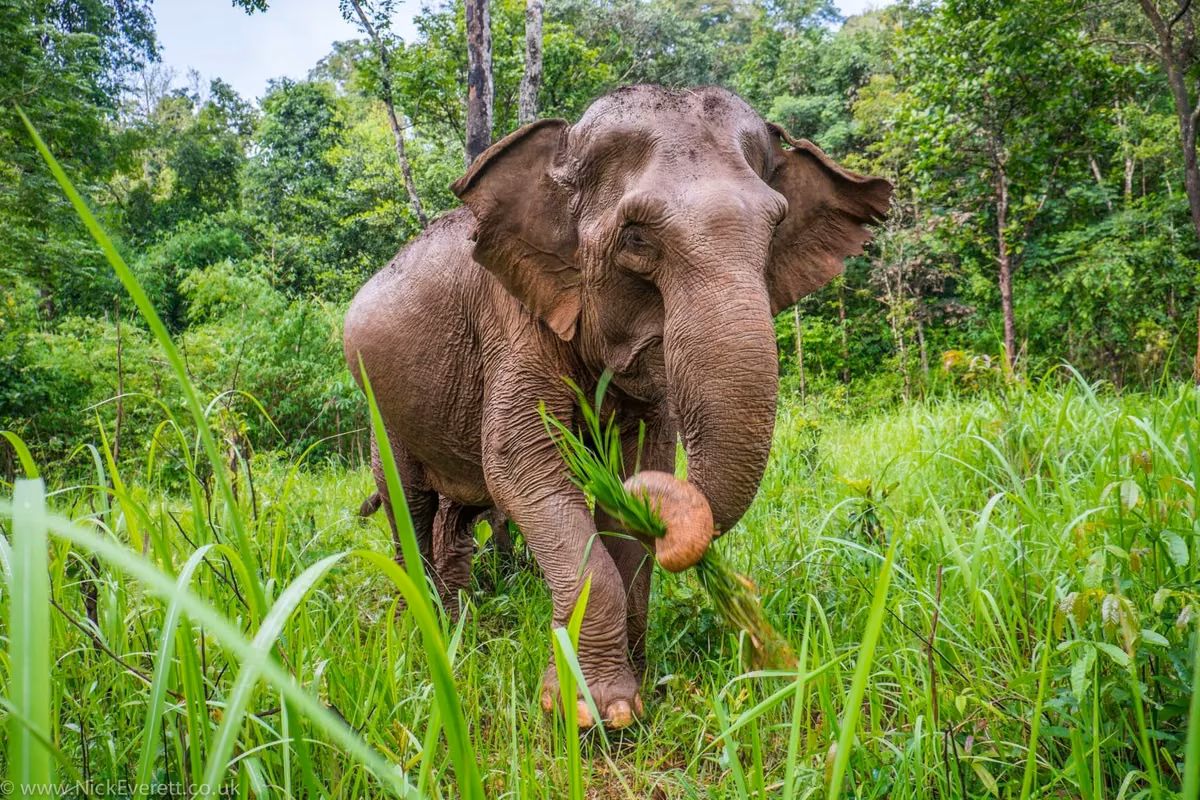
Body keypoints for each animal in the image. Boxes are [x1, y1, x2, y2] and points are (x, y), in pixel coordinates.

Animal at [343, 84, 891, 728]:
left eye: (775, 228)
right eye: (635, 237)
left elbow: (636, 471)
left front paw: (636, 686)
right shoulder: (511, 320)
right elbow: (521, 466)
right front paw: (588, 711)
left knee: (456, 515)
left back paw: (463, 627)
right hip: (381, 412)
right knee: (411, 505)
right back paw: (430, 629)